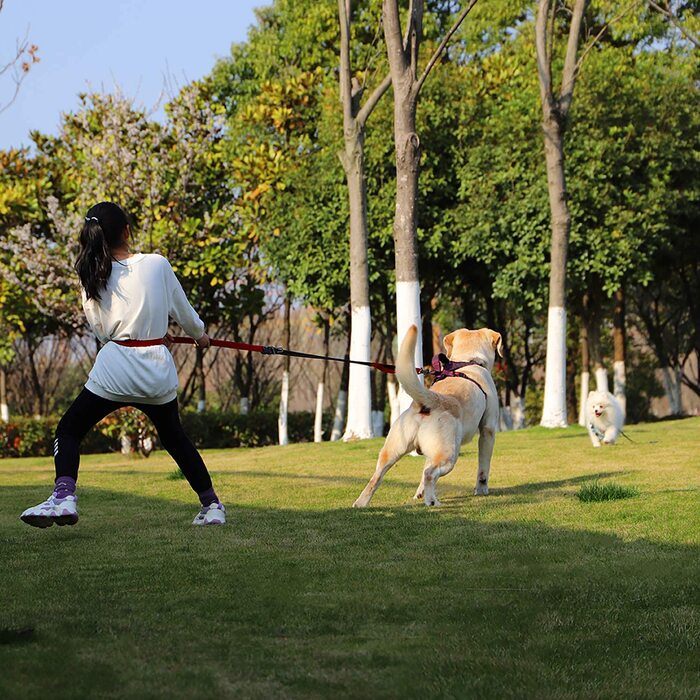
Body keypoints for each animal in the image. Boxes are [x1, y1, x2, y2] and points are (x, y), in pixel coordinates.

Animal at [352, 326, 500, 506]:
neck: (466, 361)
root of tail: (428, 402)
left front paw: (419, 493)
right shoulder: (488, 430)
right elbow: (483, 468)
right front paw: (481, 490)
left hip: (392, 452)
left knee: (377, 477)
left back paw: (360, 504)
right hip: (449, 455)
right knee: (430, 473)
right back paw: (432, 501)